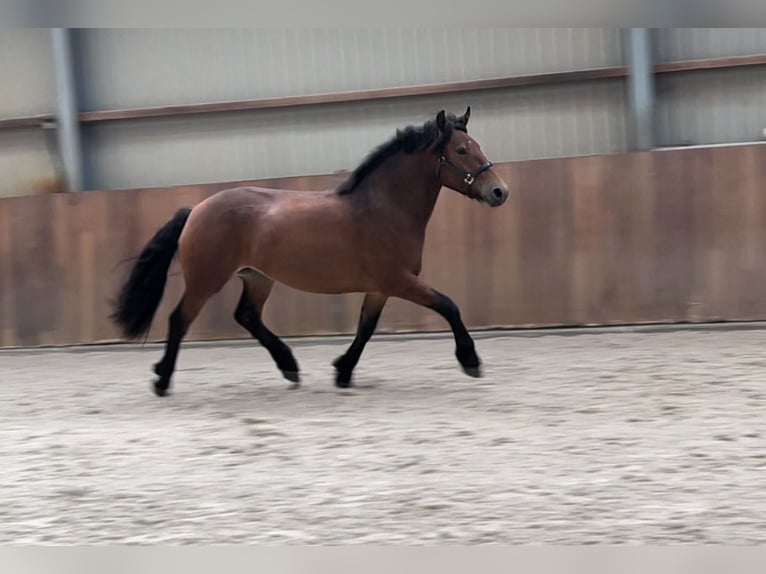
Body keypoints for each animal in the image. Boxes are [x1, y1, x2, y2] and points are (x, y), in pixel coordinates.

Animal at [109, 106, 510, 398]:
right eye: (461, 150)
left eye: (478, 146)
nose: (499, 192)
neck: (383, 207)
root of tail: (196, 210)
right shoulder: (399, 281)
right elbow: (448, 306)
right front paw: (470, 360)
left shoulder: (380, 287)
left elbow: (366, 327)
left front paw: (342, 372)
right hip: (206, 280)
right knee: (180, 319)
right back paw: (162, 381)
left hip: (258, 277)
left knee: (247, 316)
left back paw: (289, 366)